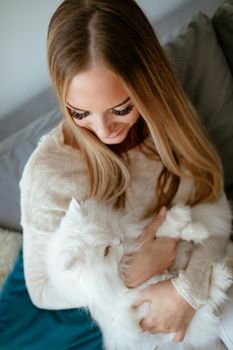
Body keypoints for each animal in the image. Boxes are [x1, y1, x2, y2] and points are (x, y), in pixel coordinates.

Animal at [46, 198, 233, 348]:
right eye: (106, 251)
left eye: (108, 227)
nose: (119, 239)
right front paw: (190, 224)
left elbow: (167, 233)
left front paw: (193, 227)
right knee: (210, 301)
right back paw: (224, 275)